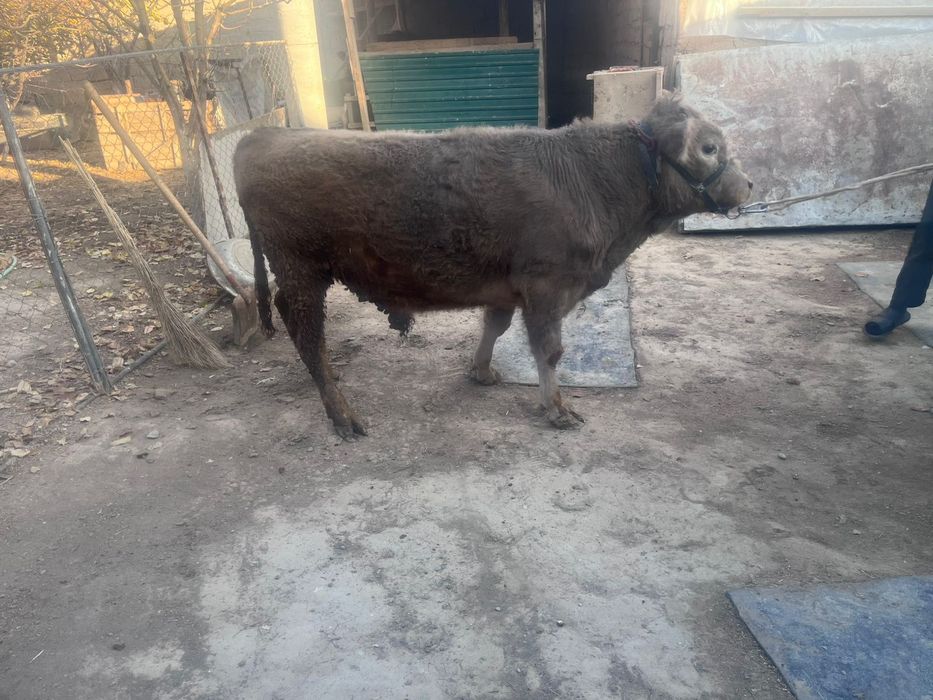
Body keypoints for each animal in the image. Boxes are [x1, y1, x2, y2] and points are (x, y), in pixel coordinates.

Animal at [234, 93, 752, 439]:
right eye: (708, 147)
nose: (747, 184)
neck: (591, 177)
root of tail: (263, 135)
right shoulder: (547, 288)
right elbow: (549, 350)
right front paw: (557, 409)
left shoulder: (508, 287)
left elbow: (495, 326)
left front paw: (481, 372)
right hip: (301, 274)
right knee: (308, 336)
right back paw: (343, 416)